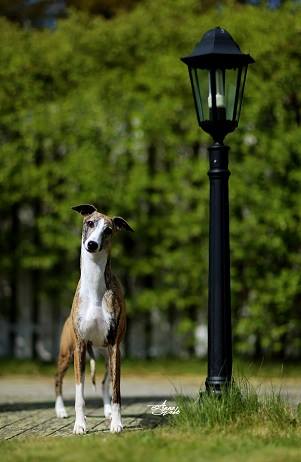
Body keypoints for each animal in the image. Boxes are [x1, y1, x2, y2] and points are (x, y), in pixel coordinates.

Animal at [54, 202, 134, 434]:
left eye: (108, 230)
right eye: (90, 223)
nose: (92, 244)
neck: (94, 287)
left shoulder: (115, 347)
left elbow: (116, 391)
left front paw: (116, 423)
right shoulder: (80, 346)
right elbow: (79, 394)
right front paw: (80, 425)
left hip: (106, 356)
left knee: (105, 383)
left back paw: (107, 411)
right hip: (67, 354)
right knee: (57, 379)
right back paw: (60, 410)